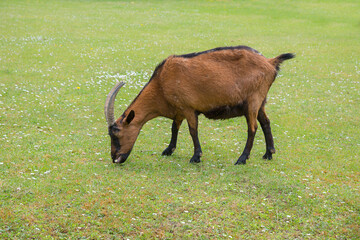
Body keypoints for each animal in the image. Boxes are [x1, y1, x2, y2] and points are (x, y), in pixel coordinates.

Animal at [102, 45, 294, 164]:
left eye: (116, 134)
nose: (115, 158)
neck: (161, 83)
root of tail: (270, 62)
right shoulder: (178, 109)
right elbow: (174, 128)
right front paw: (169, 150)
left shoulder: (188, 108)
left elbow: (192, 130)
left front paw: (196, 156)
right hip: (261, 101)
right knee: (265, 122)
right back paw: (268, 153)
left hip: (253, 101)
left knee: (252, 128)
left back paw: (242, 159)